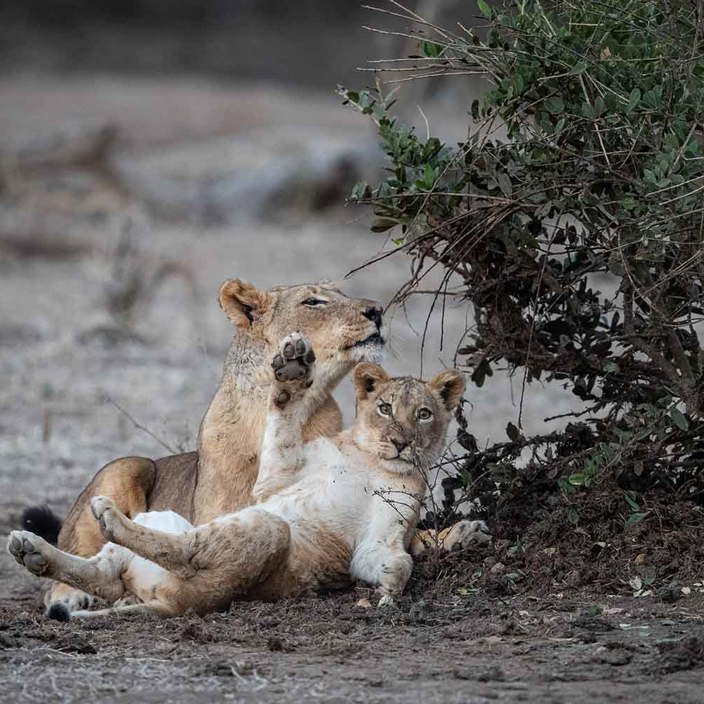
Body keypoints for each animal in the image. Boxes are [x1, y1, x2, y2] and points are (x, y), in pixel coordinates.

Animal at [9, 333, 487, 616]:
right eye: (385, 408)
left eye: (423, 414)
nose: (400, 441)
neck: (370, 459)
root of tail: (166, 603)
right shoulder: (277, 476)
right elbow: (284, 420)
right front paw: (292, 371)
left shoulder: (381, 535)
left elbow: (393, 559)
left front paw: (389, 591)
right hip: (157, 501)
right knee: (106, 569)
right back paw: (35, 550)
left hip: (263, 529)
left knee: (178, 553)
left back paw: (84, 529)